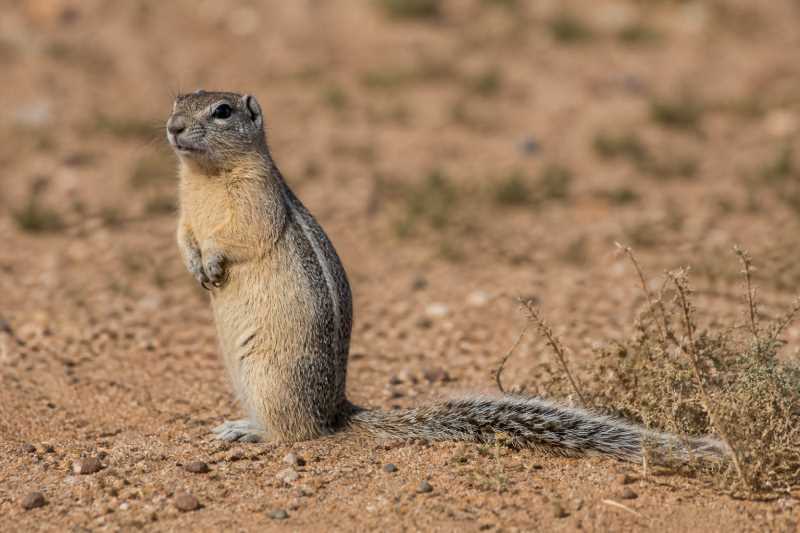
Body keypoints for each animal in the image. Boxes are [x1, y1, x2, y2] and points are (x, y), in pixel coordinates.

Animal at [167, 90, 725, 463]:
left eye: (222, 111)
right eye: (178, 99)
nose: (172, 128)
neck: (206, 176)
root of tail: (336, 410)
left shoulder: (256, 202)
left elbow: (240, 235)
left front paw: (212, 261)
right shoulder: (184, 214)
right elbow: (182, 235)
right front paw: (195, 264)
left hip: (271, 380)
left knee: (297, 435)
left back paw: (252, 433)